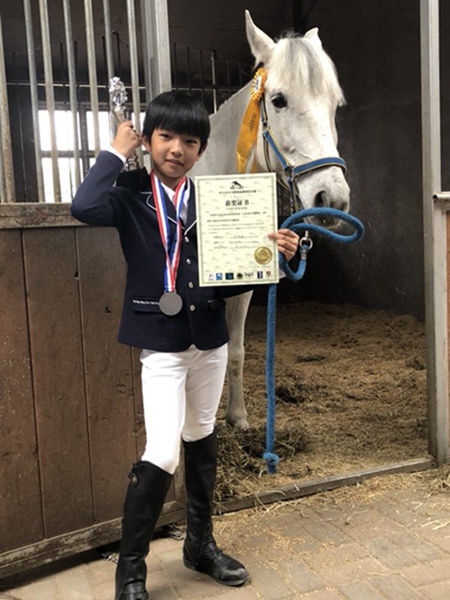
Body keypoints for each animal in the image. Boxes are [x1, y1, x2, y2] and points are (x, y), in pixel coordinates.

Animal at [193, 11, 350, 429]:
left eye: (334, 104)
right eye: (278, 100)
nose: (332, 198)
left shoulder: (240, 287)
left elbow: (234, 352)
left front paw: (238, 418)